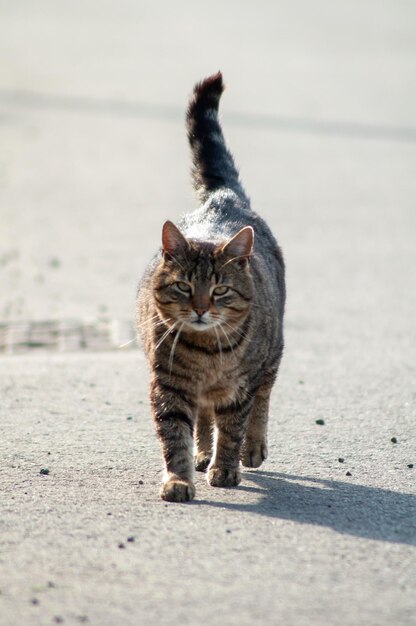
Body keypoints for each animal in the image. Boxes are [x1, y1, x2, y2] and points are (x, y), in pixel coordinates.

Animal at [136, 72, 286, 502]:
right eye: (184, 287)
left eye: (220, 290)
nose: (201, 308)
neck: (206, 354)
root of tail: (223, 197)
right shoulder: (168, 386)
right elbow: (175, 435)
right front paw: (179, 479)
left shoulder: (239, 388)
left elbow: (233, 427)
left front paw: (226, 468)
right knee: (203, 416)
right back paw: (203, 452)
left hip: (272, 354)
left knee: (263, 399)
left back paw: (252, 448)